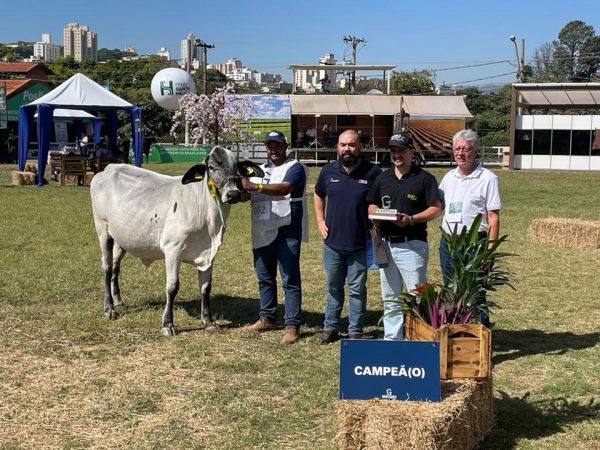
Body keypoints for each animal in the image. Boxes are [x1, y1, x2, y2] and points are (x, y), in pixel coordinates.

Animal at [90, 146, 264, 336]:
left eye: (236, 167)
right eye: (211, 167)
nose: (233, 194)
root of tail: (109, 168)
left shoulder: (210, 253)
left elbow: (206, 287)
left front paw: (209, 321)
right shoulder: (172, 249)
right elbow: (172, 286)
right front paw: (168, 324)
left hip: (121, 238)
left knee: (115, 267)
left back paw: (118, 300)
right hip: (103, 229)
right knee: (107, 268)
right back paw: (109, 308)